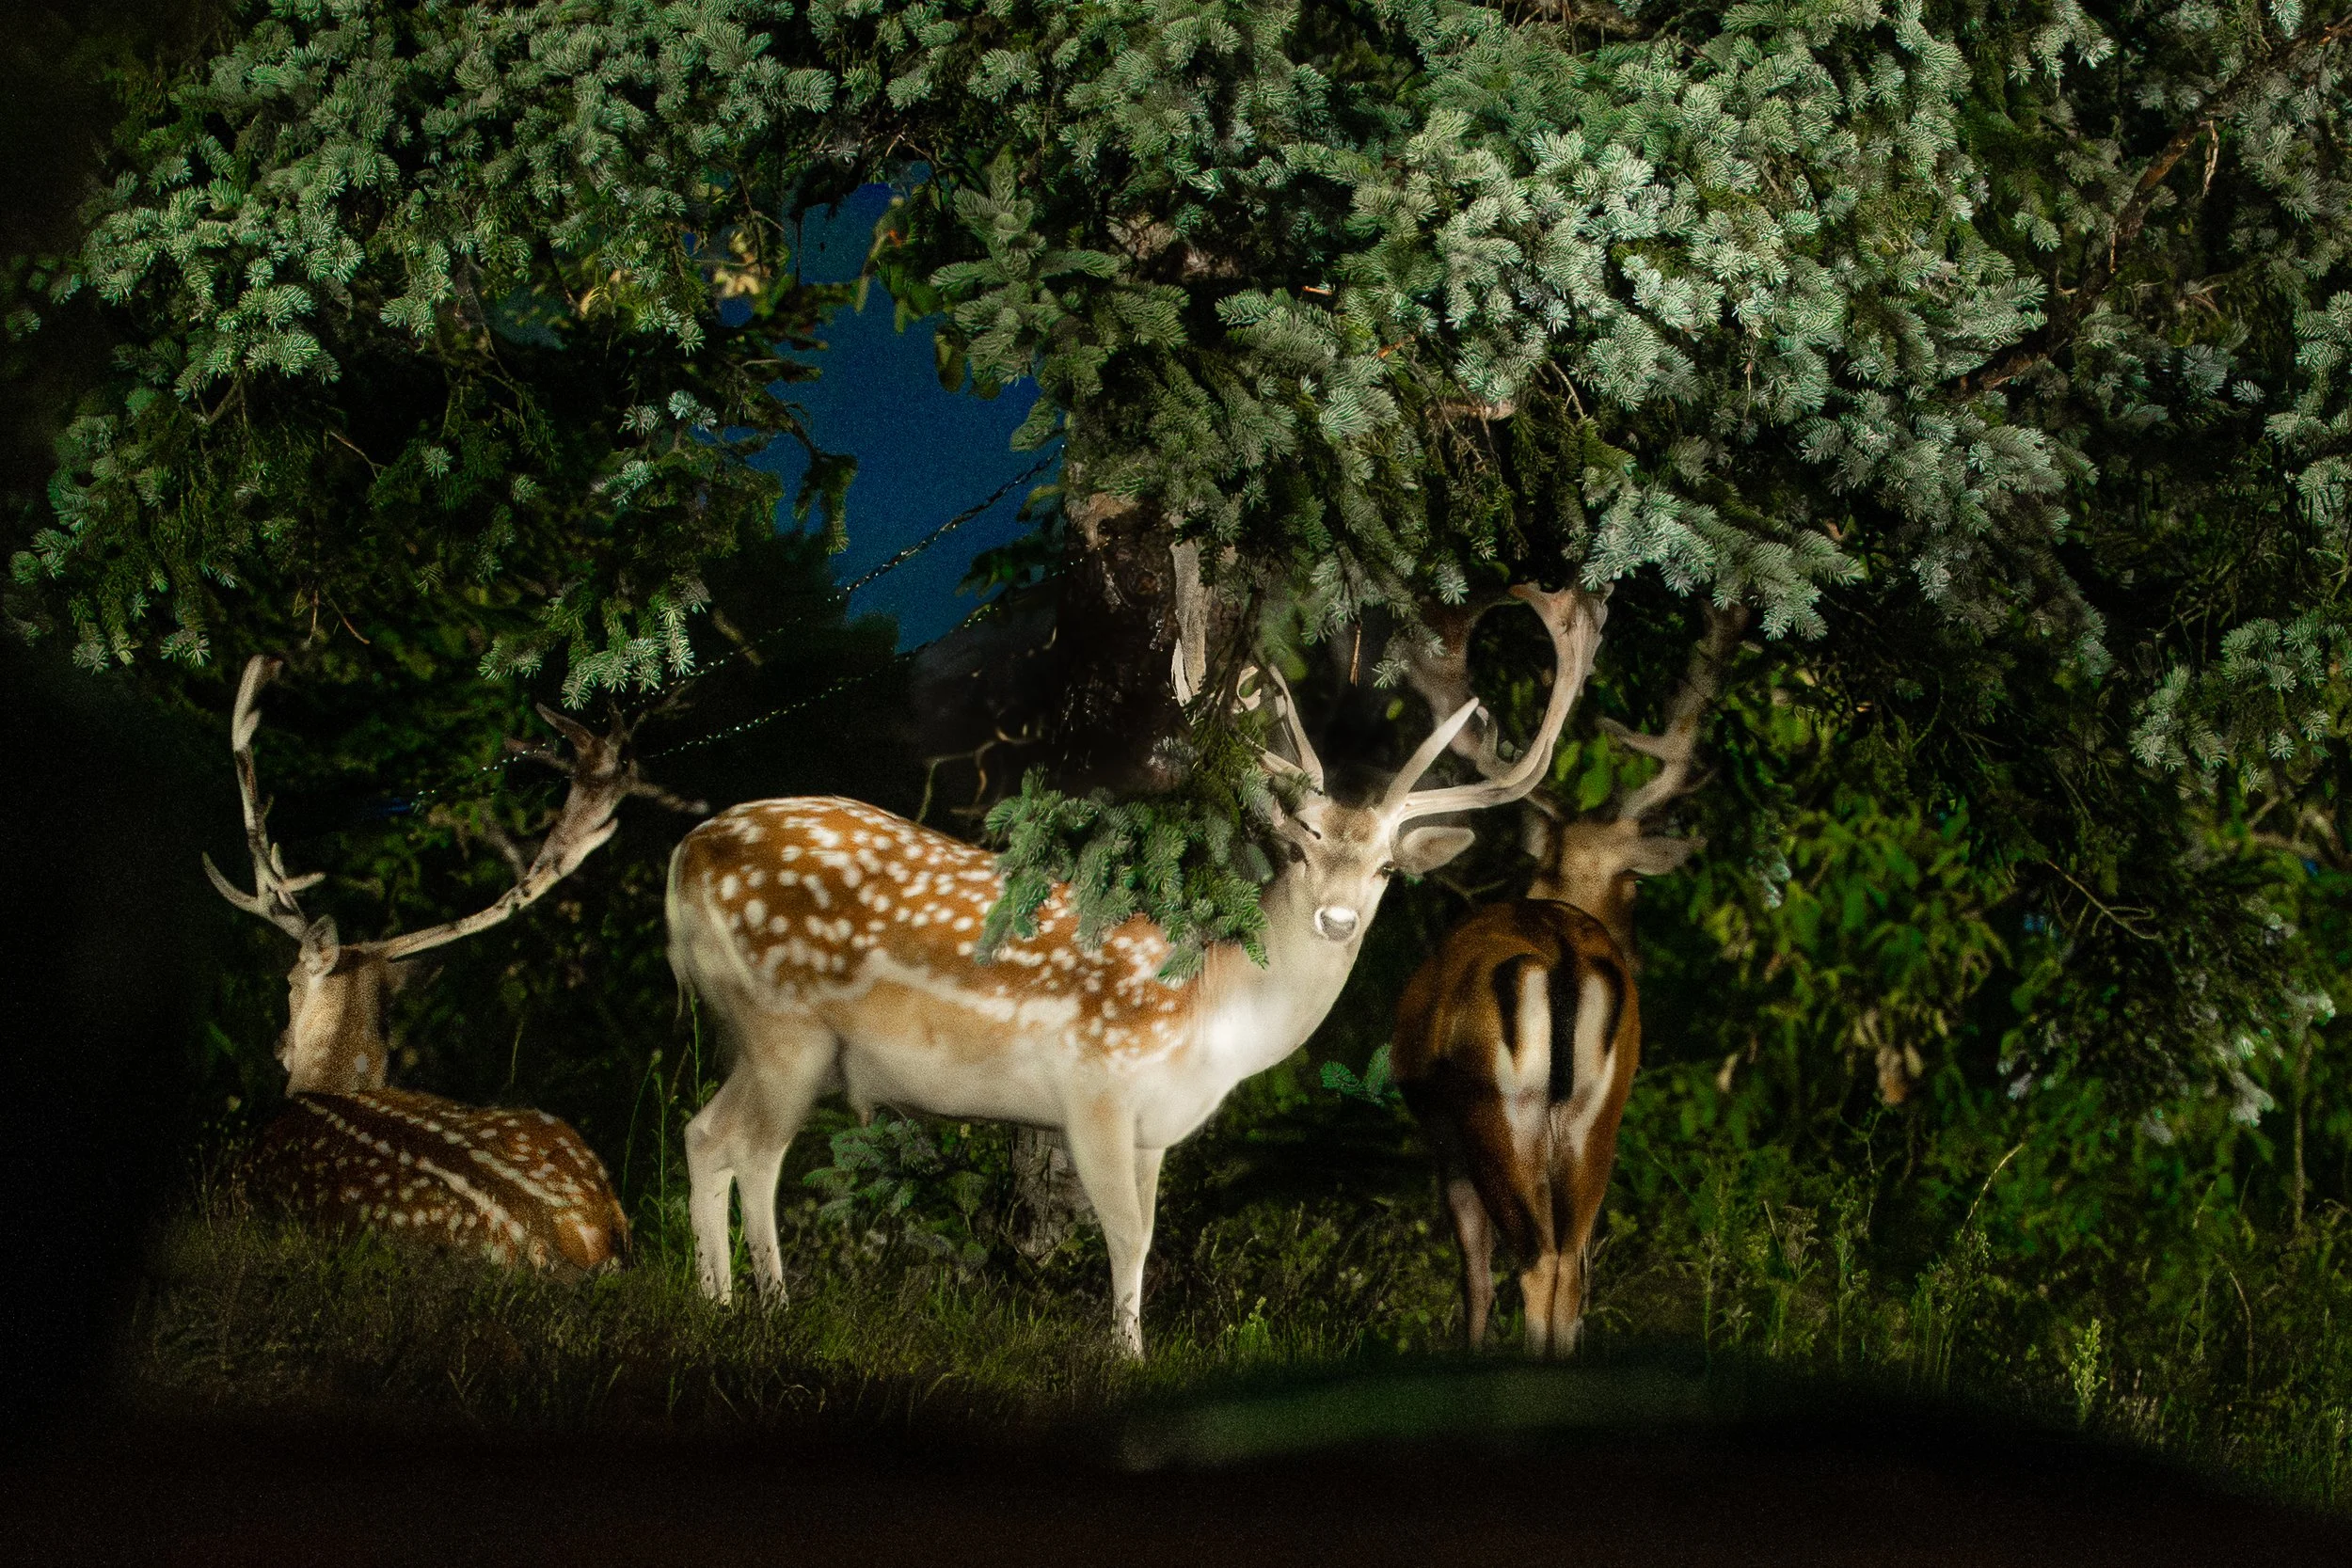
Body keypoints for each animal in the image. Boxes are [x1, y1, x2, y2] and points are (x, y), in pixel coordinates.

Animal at [666, 573, 1609, 1354]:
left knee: (719, 1138)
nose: (1338, 917)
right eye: (1301, 844)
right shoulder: (1094, 1085)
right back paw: (756, 1307)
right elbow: (1124, 1233)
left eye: (1384, 868)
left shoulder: (1155, 1126)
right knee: (739, 1145)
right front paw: (1127, 1357)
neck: (1211, 1013)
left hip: (764, 1036)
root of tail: (684, 856)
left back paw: (732, 1301)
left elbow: (1146, 1232)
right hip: (784, 1024)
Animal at [1390, 598, 1748, 1354]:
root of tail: (1560, 957)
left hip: (1498, 1116)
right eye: (1637, 887)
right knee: (1572, 1266)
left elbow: (1474, 1279)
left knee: (1537, 1262)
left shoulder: (1444, 1137)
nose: (1638, 950)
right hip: (1596, 1119)